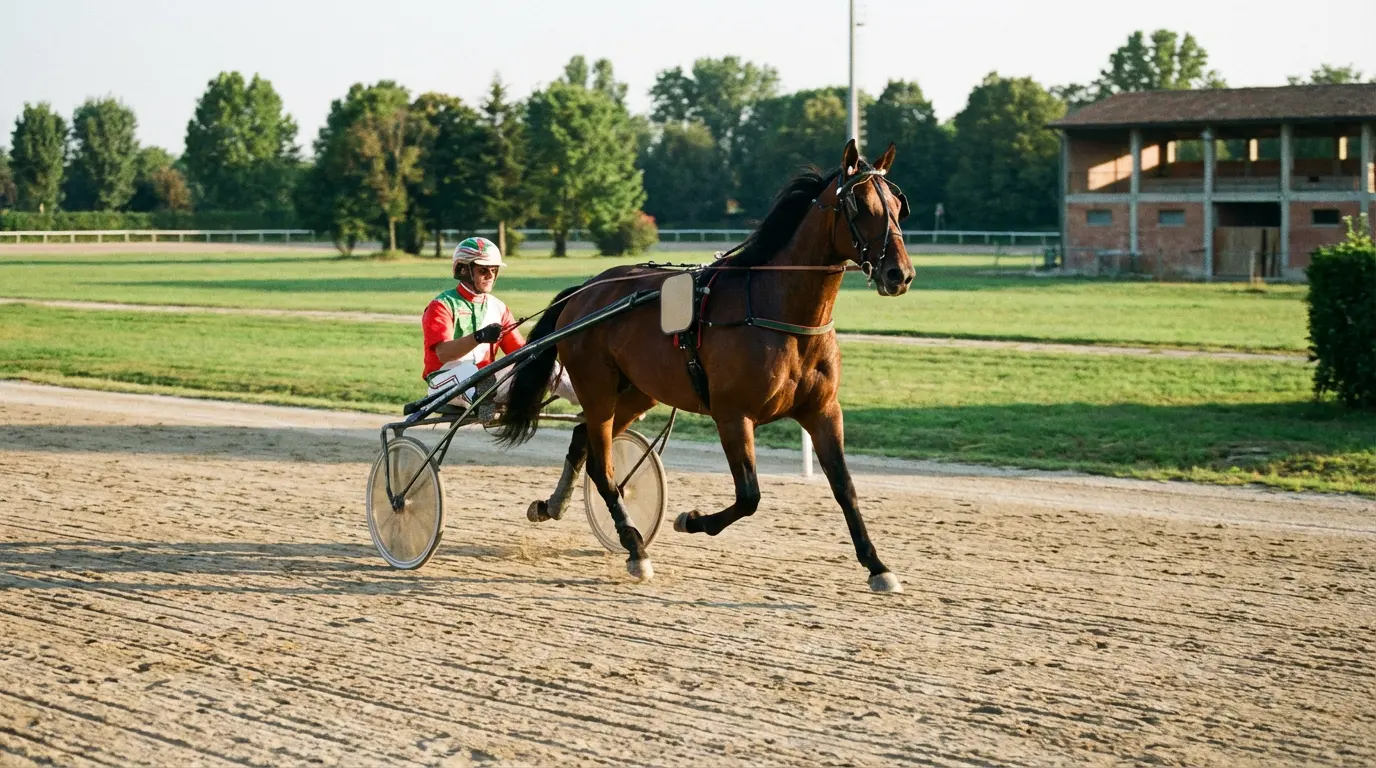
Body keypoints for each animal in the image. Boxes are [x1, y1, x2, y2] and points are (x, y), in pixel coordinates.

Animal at [495, 139, 916, 593]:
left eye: (898, 204)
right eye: (860, 205)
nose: (901, 274)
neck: (776, 309)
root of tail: (587, 289)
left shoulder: (822, 411)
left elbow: (845, 487)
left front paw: (877, 565)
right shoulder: (732, 414)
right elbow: (749, 496)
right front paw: (691, 519)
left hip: (637, 391)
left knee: (581, 440)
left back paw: (553, 506)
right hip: (598, 387)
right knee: (601, 466)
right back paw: (635, 547)